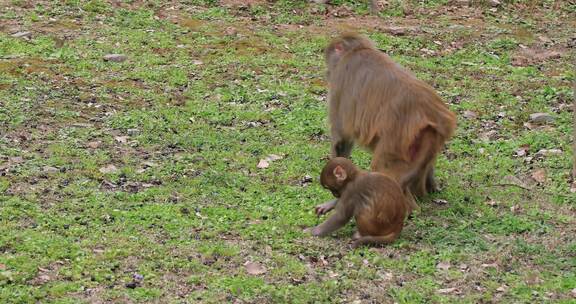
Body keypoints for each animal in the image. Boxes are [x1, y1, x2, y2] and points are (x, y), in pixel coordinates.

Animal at [312, 32, 456, 214]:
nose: (327, 72)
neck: (357, 50)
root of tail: (431, 116)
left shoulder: (338, 85)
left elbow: (341, 140)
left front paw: (335, 201)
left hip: (396, 144)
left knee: (382, 167)